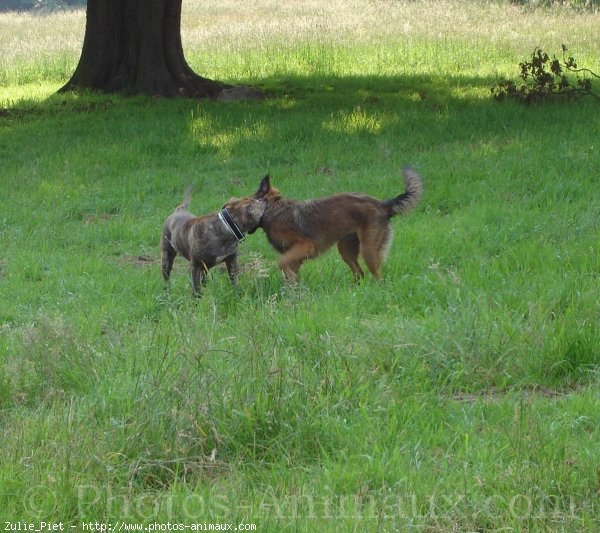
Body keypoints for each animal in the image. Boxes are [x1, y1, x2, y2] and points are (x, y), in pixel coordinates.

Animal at [251, 167, 424, 282]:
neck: (272, 206)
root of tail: (384, 205)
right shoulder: (296, 257)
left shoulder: (304, 245)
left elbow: (281, 262)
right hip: (346, 249)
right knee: (359, 273)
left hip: (368, 251)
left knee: (377, 277)